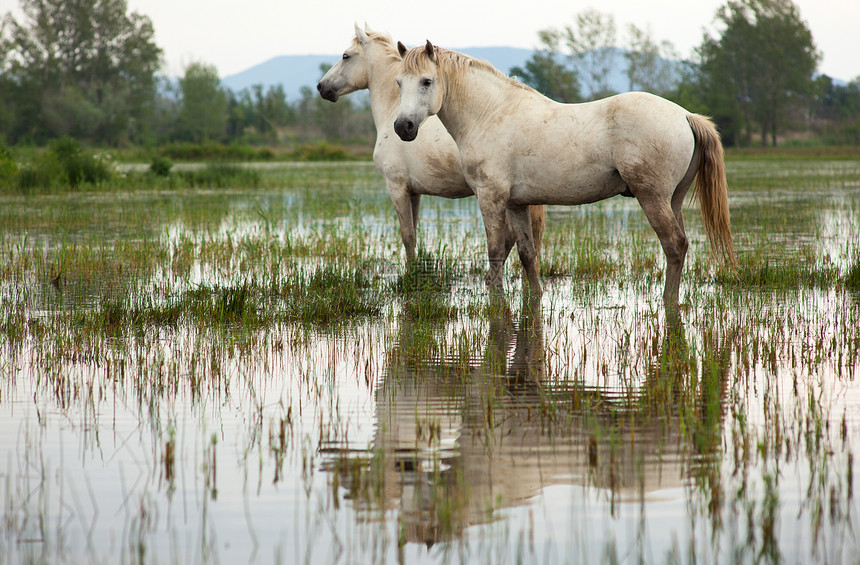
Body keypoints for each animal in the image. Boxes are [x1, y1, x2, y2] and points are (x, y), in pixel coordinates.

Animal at [316, 28, 544, 268]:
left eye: (346, 56)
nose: (322, 87)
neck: (392, 109)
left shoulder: (396, 187)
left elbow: (407, 235)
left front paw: (410, 272)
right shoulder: (414, 191)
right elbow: (414, 233)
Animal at [394, 42, 736, 304]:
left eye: (426, 81)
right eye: (399, 83)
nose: (403, 127)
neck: (490, 114)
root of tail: (686, 115)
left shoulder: (491, 198)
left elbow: (495, 255)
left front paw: (496, 302)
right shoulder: (516, 203)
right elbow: (527, 254)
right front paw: (535, 298)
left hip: (653, 198)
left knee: (674, 245)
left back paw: (667, 302)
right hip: (672, 200)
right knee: (680, 245)